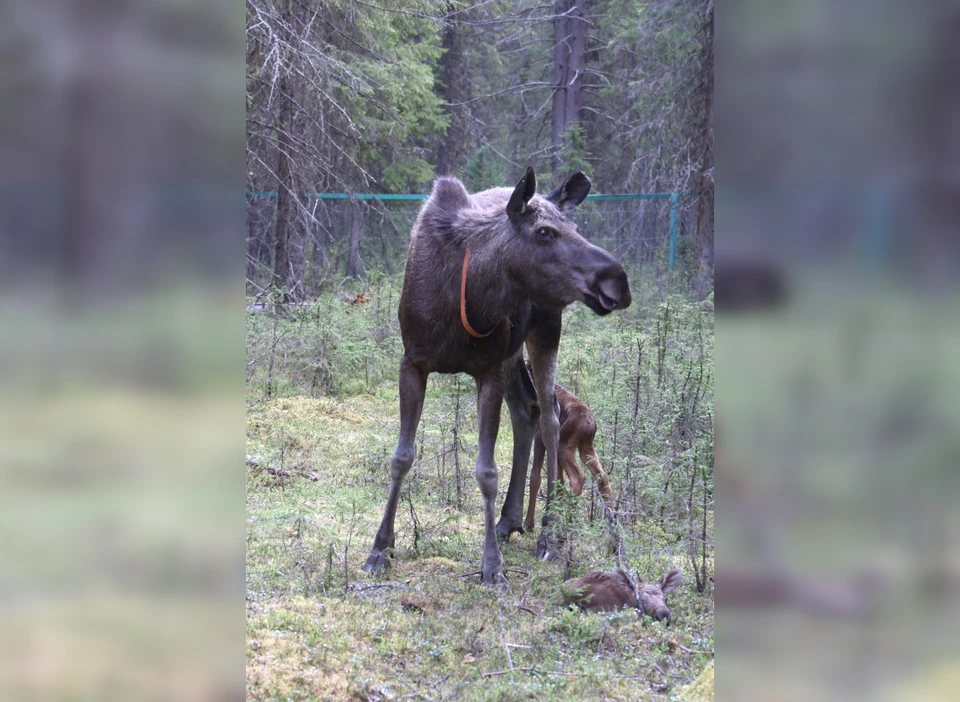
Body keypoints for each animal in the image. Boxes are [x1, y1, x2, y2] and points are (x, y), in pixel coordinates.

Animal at [360, 168, 632, 584]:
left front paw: (491, 565)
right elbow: (402, 457)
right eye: (544, 232)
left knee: (550, 416)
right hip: (512, 351)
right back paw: (509, 519)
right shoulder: (413, 363)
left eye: (574, 226)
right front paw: (380, 548)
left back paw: (548, 535)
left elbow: (486, 470)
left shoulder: (486, 370)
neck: (471, 293)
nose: (617, 280)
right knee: (526, 410)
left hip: (545, 327)